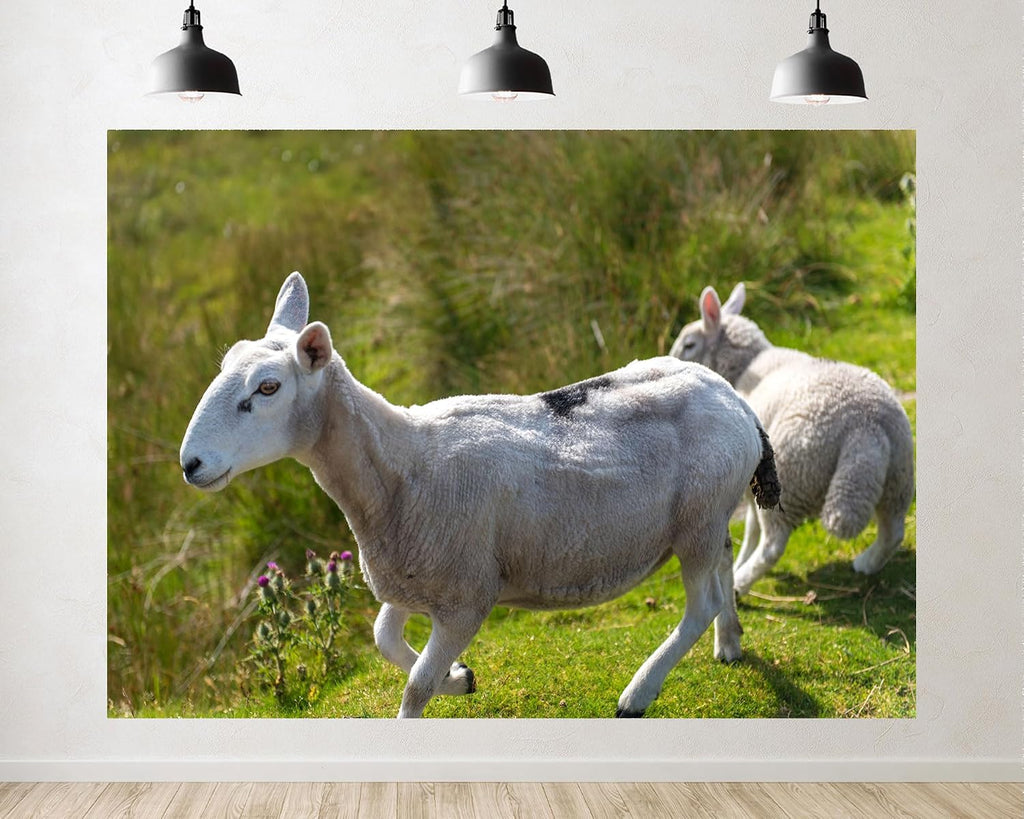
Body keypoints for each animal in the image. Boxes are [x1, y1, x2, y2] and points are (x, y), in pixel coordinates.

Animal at [179, 272, 780, 718]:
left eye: (268, 387)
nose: (191, 465)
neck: (400, 468)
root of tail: (733, 398)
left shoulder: (467, 595)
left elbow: (415, 687)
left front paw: (439, 684)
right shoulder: (412, 576)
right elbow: (383, 639)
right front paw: (461, 678)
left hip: (695, 519)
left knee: (700, 603)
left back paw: (639, 691)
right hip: (711, 513)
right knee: (725, 564)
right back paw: (730, 644)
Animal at [670, 282, 914, 596]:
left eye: (689, 345)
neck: (745, 367)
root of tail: (864, 425)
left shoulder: (754, 478)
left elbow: (751, 530)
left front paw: (739, 564)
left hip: (792, 472)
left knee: (772, 546)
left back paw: (743, 583)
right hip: (898, 476)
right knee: (893, 531)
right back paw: (866, 563)